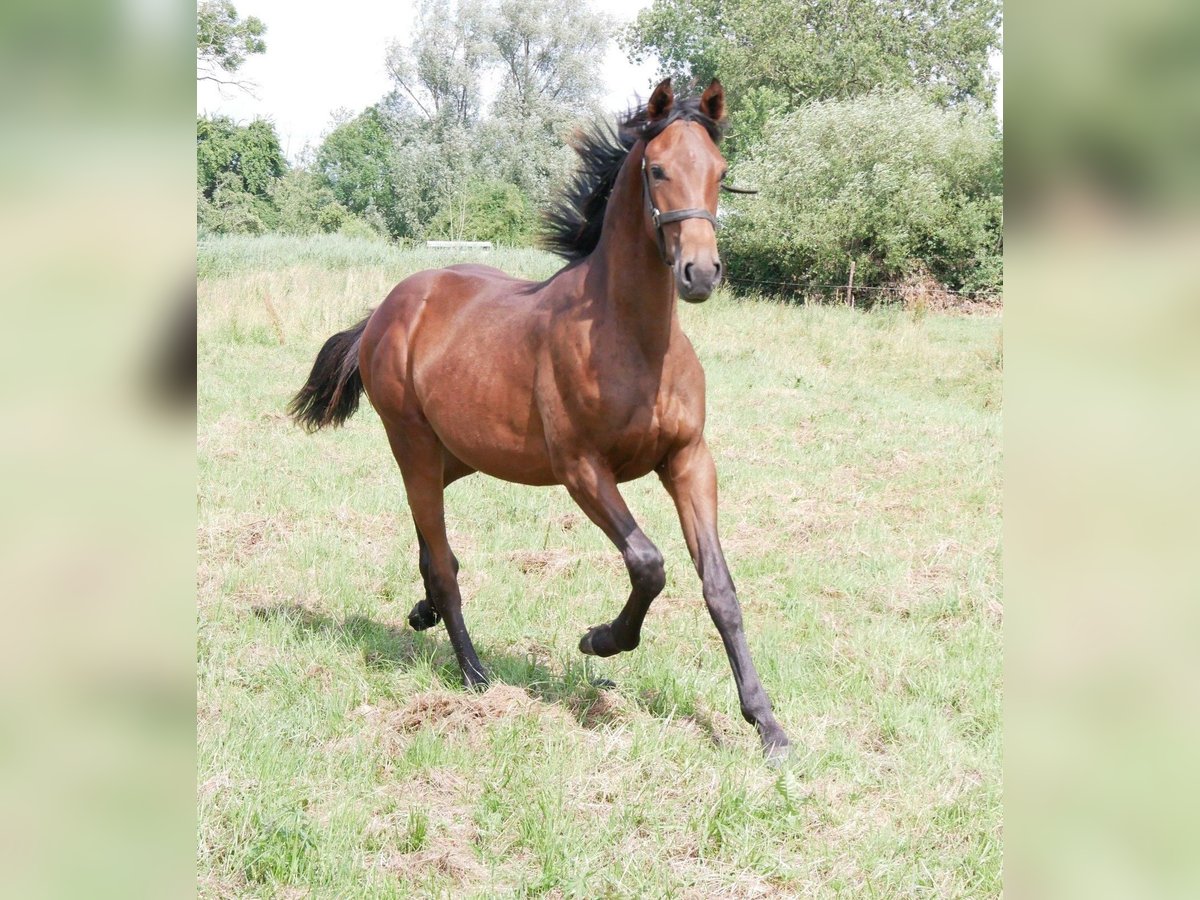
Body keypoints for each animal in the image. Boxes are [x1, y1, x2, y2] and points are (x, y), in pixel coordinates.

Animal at [289, 79, 790, 758]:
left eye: (720, 171)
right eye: (657, 169)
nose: (701, 273)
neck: (634, 340)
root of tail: (390, 307)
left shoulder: (688, 460)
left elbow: (720, 587)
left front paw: (767, 724)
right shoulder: (582, 469)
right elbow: (649, 563)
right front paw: (600, 640)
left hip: (461, 456)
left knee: (430, 542)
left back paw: (423, 613)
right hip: (412, 444)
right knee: (442, 558)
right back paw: (475, 674)